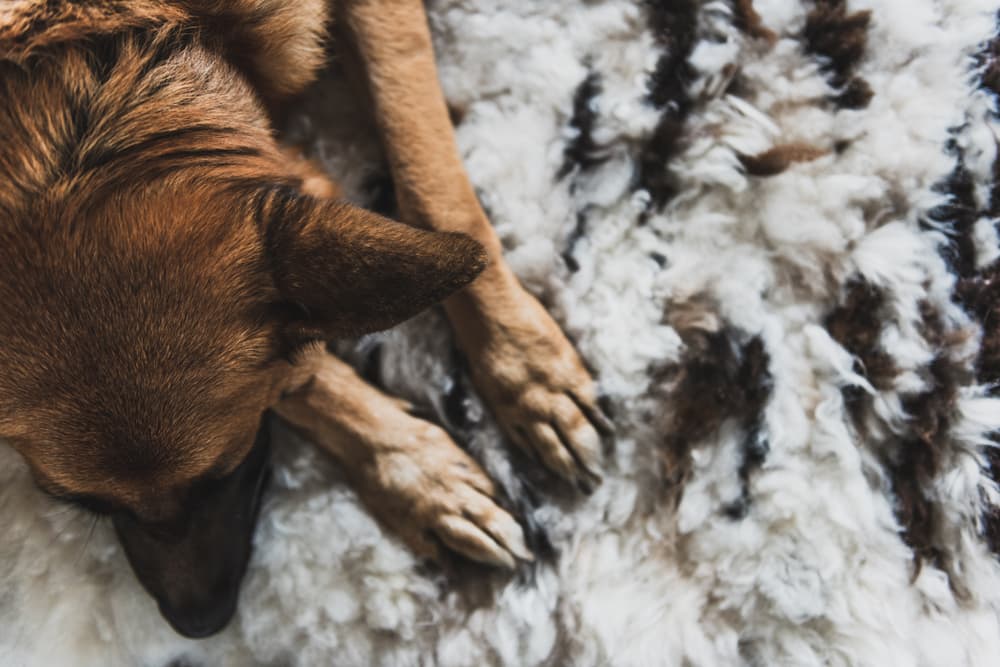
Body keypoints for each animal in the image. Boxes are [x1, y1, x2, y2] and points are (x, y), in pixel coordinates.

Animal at [0, 0, 608, 640]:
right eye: (82, 505)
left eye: (223, 473)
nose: (199, 624)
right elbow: (303, 369)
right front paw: (419, 477)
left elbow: (433, 186)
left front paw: (524, 366)